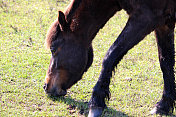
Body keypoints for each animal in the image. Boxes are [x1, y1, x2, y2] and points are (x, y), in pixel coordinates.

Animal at [43, 0, 176, 116]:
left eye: (53, 48)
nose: (46, 86)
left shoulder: (145, 18)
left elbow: (110, 56)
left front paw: (96, 103)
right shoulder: (164, 25)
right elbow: (166, 63)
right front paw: (163, 106)